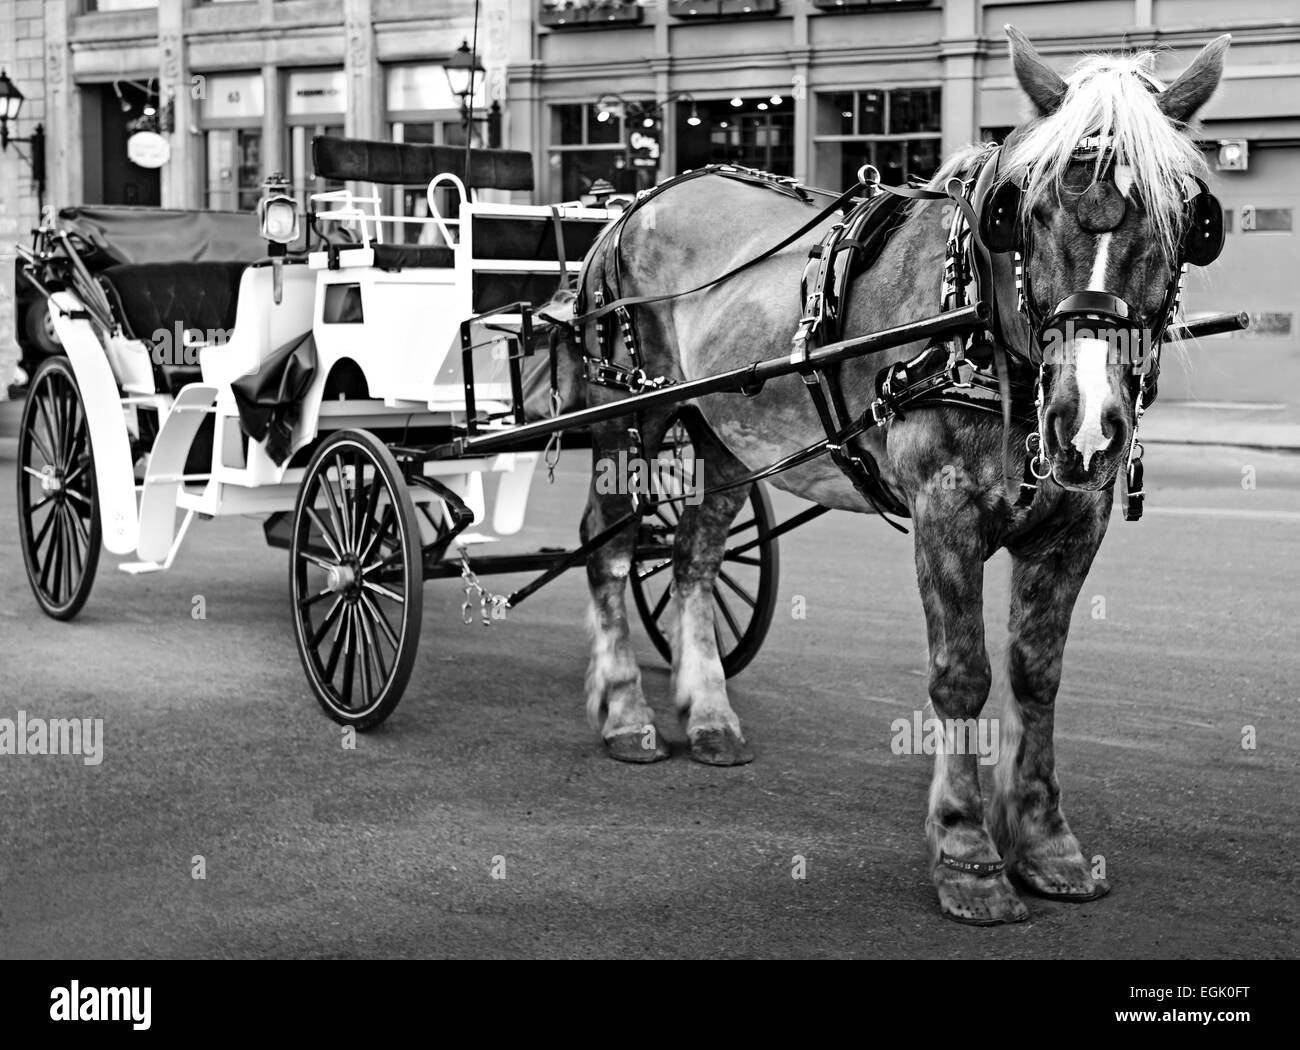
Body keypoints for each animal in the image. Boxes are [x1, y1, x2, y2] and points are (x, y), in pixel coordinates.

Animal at [577, 24, 1227, 925]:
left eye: (1188, 221)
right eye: (1025, 212)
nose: (1089, 424)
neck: (982, 332)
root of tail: (634, 204)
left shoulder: (1072, 525)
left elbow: (1037, 675)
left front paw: (1046, 843)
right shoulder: (943, 513)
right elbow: (962, 676)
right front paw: (967, 855)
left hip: (723, 434)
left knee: (693, 558)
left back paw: (707, 714)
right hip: (622, 413)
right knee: (608, 549)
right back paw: (625, 715)